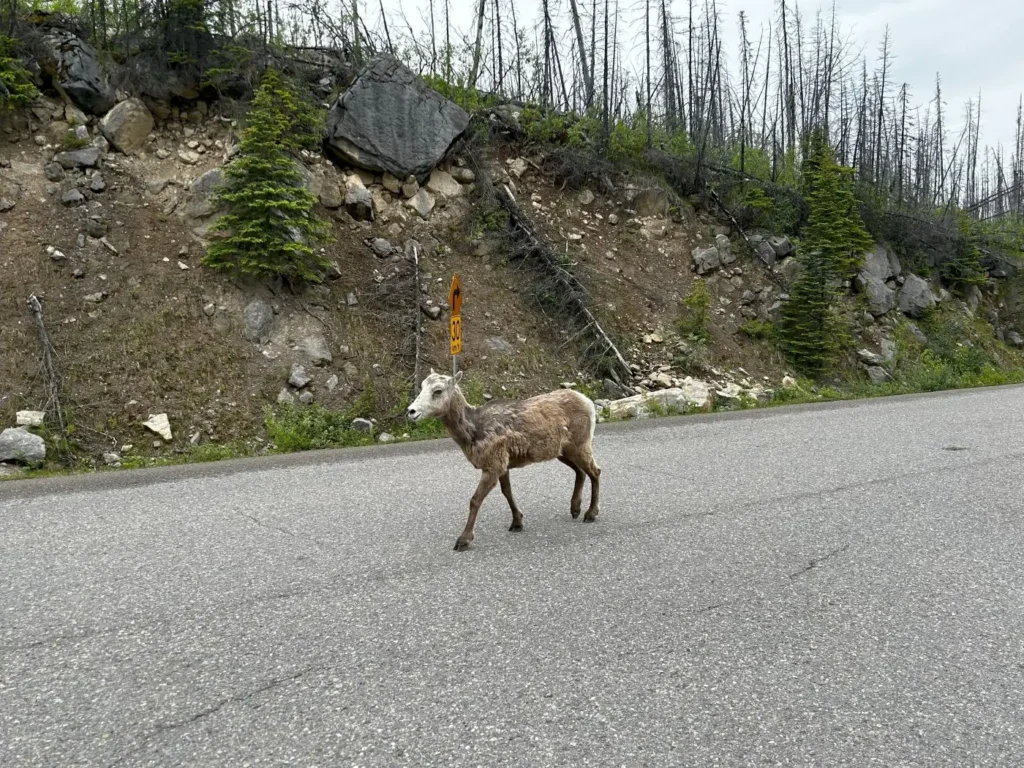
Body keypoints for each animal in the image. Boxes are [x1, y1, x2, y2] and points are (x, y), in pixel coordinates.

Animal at [407, 369, 602, 551]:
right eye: (422, 386)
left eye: (438, 391)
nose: (411, 411)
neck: (473, 433)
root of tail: (588, 403)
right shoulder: (503, 465)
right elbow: (507, 492)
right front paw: (517, 523)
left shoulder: (493, 465)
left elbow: (475, 500)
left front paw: (463, 540)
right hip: (563, 451)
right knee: (581, 471)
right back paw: (575, 509)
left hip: (580, 444)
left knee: (595, 471)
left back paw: (590, 514)